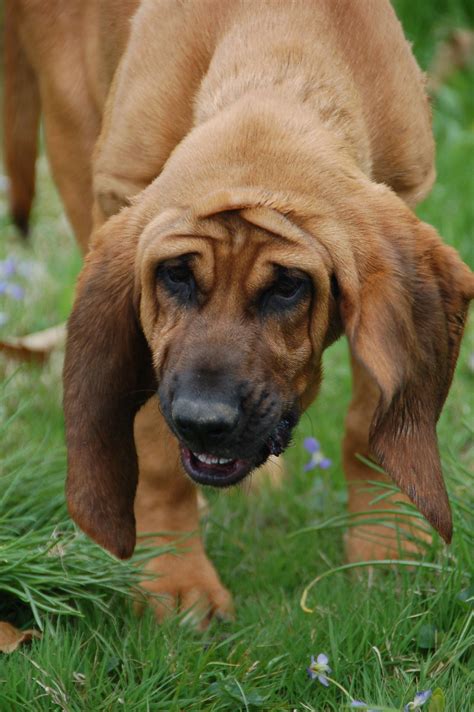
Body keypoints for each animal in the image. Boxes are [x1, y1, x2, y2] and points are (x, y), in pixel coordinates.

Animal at [5, 0, 472, 624]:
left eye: (289, 287)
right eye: (175, 274)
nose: (203, 421)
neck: (279, 49)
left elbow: (368, 418)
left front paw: (387, 545)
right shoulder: (117, 198)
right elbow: (152, 445)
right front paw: (175, 579)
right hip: (71, 132)